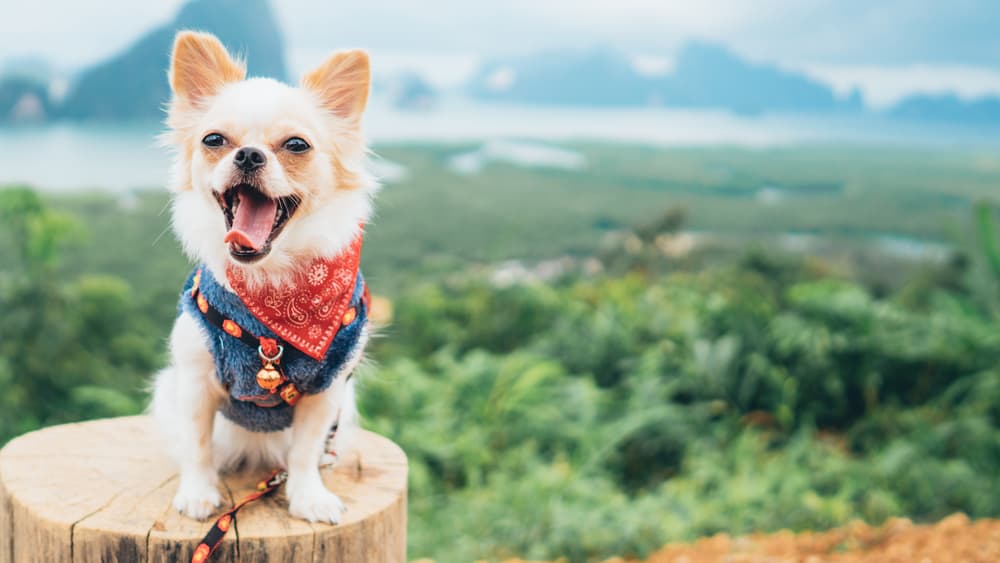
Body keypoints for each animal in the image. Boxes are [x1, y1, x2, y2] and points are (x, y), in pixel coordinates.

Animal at [150, 30, 376, 524]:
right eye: (214, 139)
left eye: (296, 145)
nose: (249, 154)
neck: (271, 285)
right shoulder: (195, 382)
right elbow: (197, 445)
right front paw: (198, 493)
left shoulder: (326, 392)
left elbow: (306, 452)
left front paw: (308, 497)